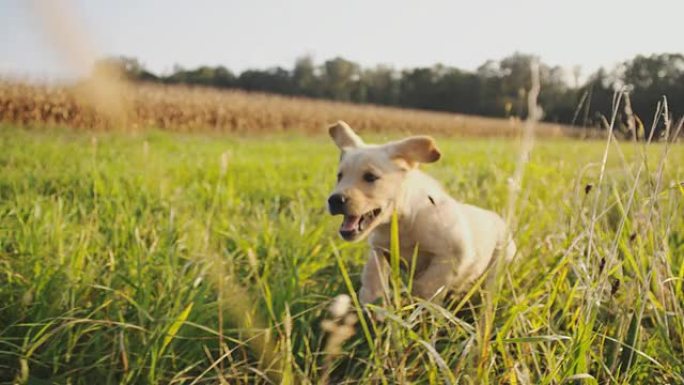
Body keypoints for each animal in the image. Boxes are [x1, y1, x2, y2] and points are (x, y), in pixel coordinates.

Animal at [328, 120, 516, 304]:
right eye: (339, 176)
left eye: (370, 177)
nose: (334, 200)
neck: (402, 223)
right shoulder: (379, 248)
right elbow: (373, 272)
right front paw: (373, 299)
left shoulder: (455, 254)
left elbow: (427, 284)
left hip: (498, 266)